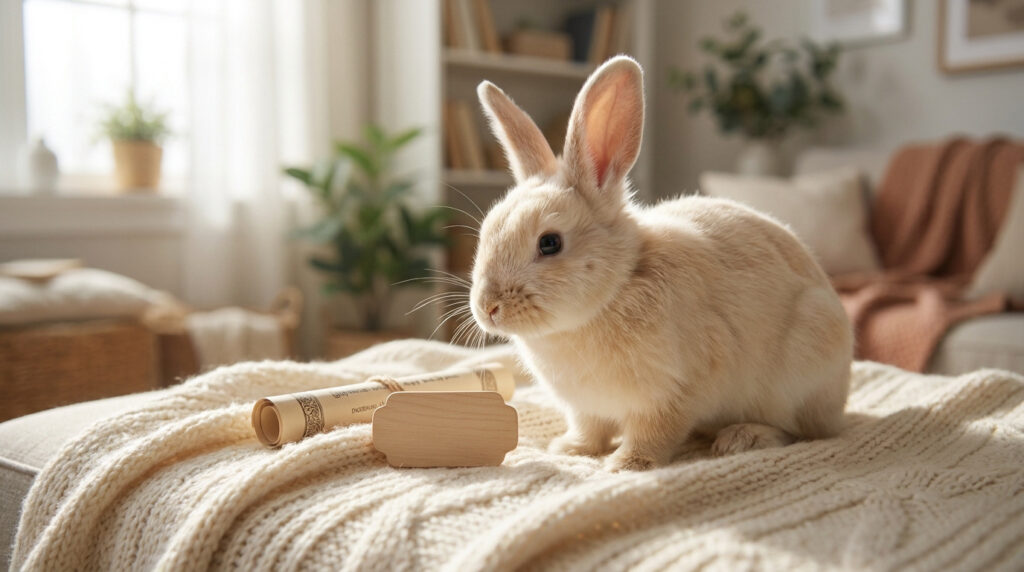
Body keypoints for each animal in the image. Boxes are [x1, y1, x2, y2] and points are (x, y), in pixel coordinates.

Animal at [468, 56, 853, 471]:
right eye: (486, 231)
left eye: (550, 243)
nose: (488, 308)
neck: (615, 289)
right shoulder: (586, 408)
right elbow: (590, 429)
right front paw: (571, 449)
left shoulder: (674, 392)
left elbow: (654, 433)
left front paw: (626, 464)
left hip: (797, 376)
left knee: (800, 431)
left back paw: (741, 438)